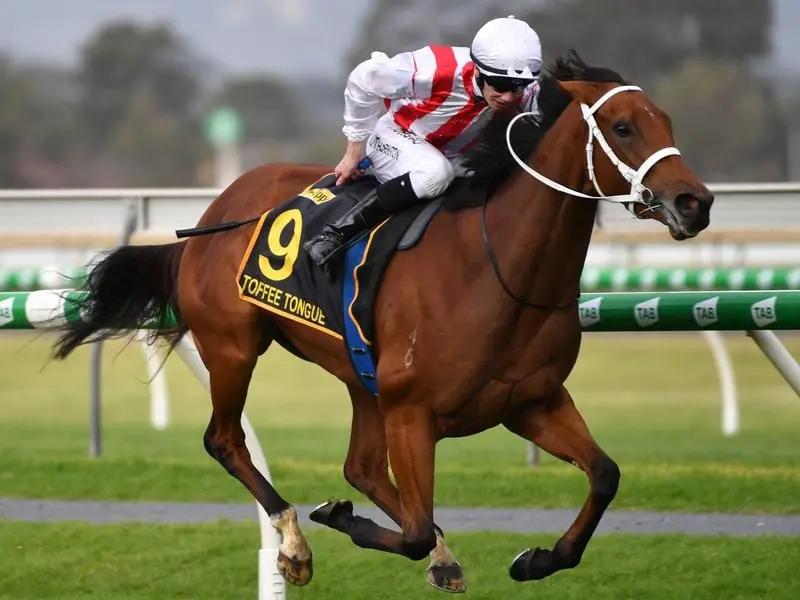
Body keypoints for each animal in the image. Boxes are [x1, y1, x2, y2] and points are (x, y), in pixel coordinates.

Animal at [50, 52, 712, 596]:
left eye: (668, 121)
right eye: (623, 127)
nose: (695, 203)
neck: (494, 269)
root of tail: (215, 211)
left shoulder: (532, 401)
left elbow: (605, 476)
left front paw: (538, 559)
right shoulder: (413, 411)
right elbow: (413, 530)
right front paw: (338, 519)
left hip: (360, 377)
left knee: (362, 467)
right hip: (234, 347)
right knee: (226, 440)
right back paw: (295, 541)